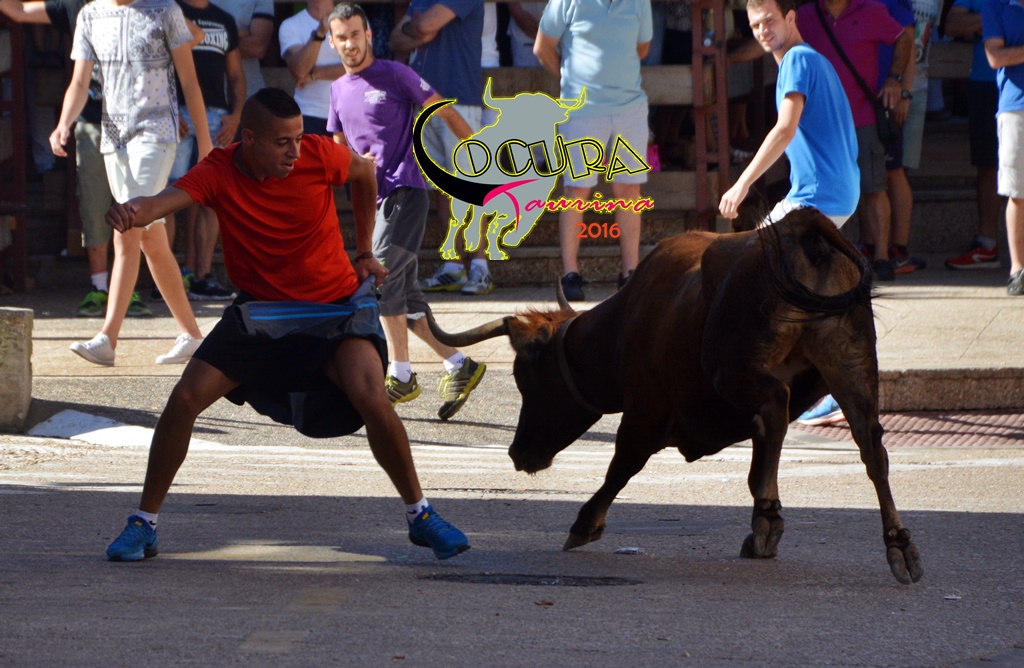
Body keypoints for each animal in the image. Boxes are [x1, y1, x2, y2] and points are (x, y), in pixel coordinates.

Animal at [426, 208, 924, 584]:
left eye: (526, 378)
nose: (518, 452)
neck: (627, 321)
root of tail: (801, 228)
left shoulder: (645, 410)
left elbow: (622, 466)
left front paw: (585, 523)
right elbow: (760, 457)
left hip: (735, 369)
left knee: (779, 405)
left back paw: (768, 518)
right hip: (850, 365)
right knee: (871, 446)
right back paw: (898, 545)